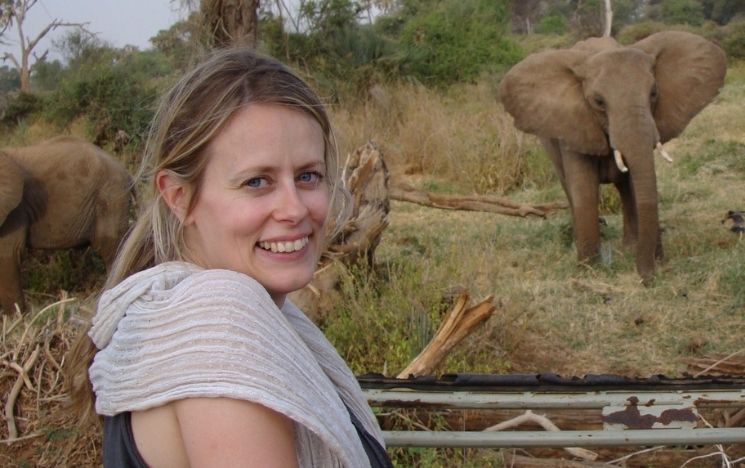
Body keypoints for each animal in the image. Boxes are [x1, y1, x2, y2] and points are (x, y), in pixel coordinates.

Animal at [0, 136, 132, 314]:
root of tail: (126, 171)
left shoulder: (14, 212)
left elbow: (7, 255)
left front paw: (17, 316)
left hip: (111, 197)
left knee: (111, 247)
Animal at [500, 32, 728, 286]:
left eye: (653, 93)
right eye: (599, 102)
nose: (648, 277)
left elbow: (638, 185)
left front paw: (646, 258)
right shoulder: (575, 125)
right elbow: (584, 189)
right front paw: (589, 269)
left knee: (626, 189)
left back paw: (628, 247)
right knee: (569, 187)